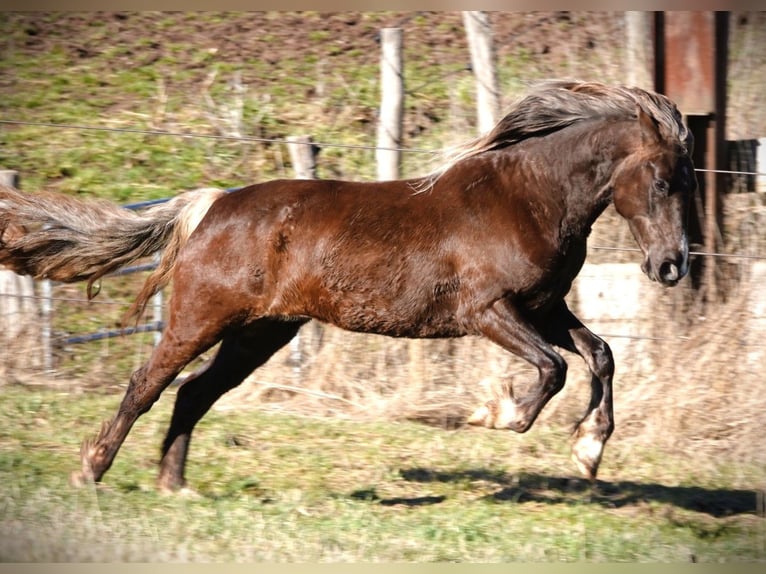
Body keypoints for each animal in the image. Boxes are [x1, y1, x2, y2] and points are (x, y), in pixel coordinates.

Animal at [0, 81, 697, 493]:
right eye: (663, 181)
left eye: (688, 181)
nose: (672, 266)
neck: (525, 199)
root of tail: (212, 205)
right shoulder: (488, 312)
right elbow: (553, 369)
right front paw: (496, 413)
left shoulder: (544, 308)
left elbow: (600, 354)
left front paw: (589, 451)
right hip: (202, 317)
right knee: (147, 384)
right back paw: (92, 470)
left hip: (261, 333)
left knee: (194, 393)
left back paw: (176, 486)